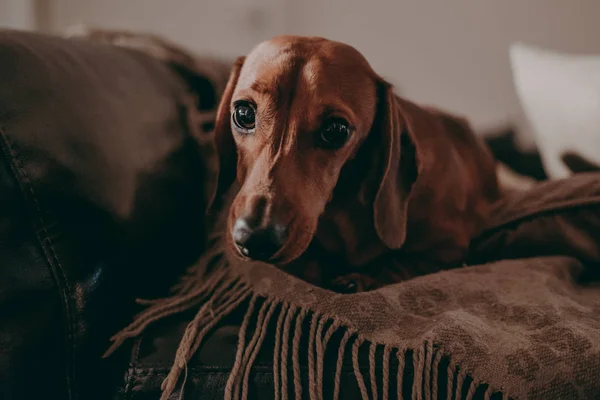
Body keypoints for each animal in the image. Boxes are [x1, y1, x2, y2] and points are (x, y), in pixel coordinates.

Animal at [209, 36, 500, 292]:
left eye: (336, 130)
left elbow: (401, 263)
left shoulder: (450, 248)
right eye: (244, 113)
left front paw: (360, 279)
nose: (255, 239)